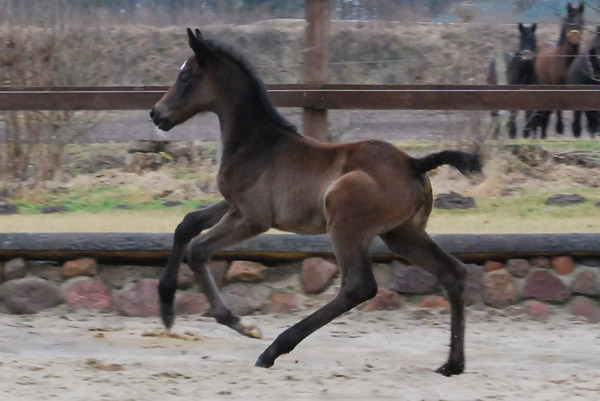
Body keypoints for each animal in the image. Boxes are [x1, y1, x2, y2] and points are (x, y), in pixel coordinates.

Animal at [150, 28, 482, 376]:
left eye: (185, 77)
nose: (156, 113)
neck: (258, 144)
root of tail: (413, 163)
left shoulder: (253, 217)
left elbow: (198, 249)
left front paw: (241, 324)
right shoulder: (233, 204)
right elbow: (187, 224)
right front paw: (166, 308)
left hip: (345, 223)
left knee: (358, 287)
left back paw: (273, 350)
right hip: (403, 234)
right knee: (453, 273)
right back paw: (453, 364)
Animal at [532, 1, 584, 138]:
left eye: (582, 22)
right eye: (568, 23)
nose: (574, 45)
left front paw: (576, 129)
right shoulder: (557, 86)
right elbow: (559, 107)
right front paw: (560, 128)